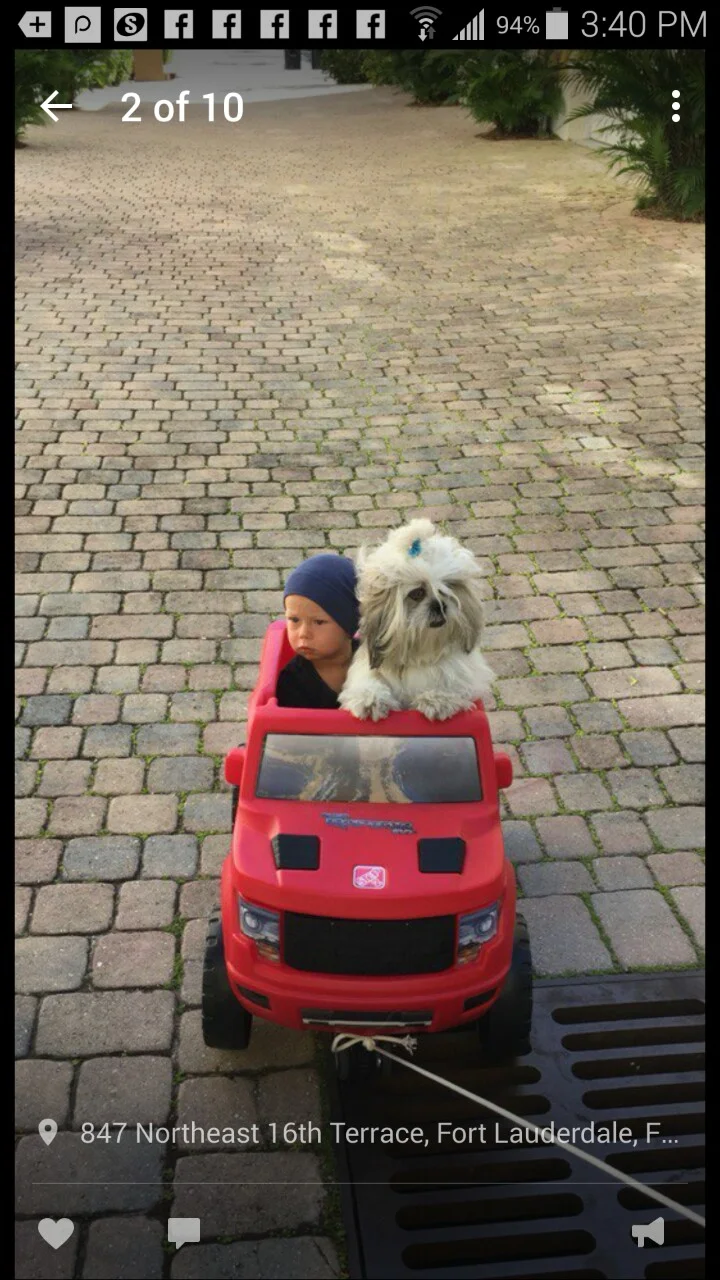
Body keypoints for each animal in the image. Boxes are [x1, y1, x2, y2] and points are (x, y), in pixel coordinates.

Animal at [339, 518, 494, 722]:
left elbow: (451, 681)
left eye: (448, 588)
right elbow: (369, 682)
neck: (421, 651)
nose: (439, 605)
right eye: (417, 593)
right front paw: (370, 700)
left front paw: (437, 699)